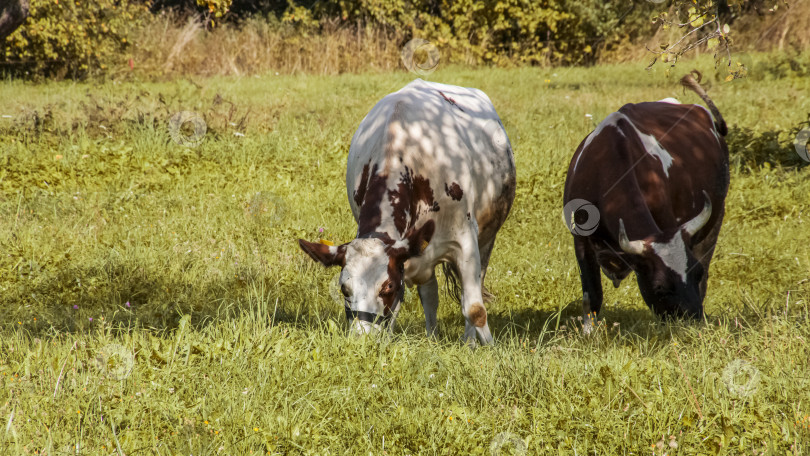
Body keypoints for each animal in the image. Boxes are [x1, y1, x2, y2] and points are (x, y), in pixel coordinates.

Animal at [296, 78, 512, 346]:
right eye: (344, 289)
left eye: (387, 286)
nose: (362, 339)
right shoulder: (407, 254)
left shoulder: (465, 240)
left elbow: (474, 308)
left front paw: (487, 349)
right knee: (430, 293)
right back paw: (432, 338)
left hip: (487, 237)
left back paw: (469, 342)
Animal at [560, 71, 724, 330]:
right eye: (660, 288)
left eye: (694, 273)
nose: (694, 322)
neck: (607, 167)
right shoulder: (581, 240)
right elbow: (591, 294)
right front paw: (589, 332)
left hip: (715, 221)